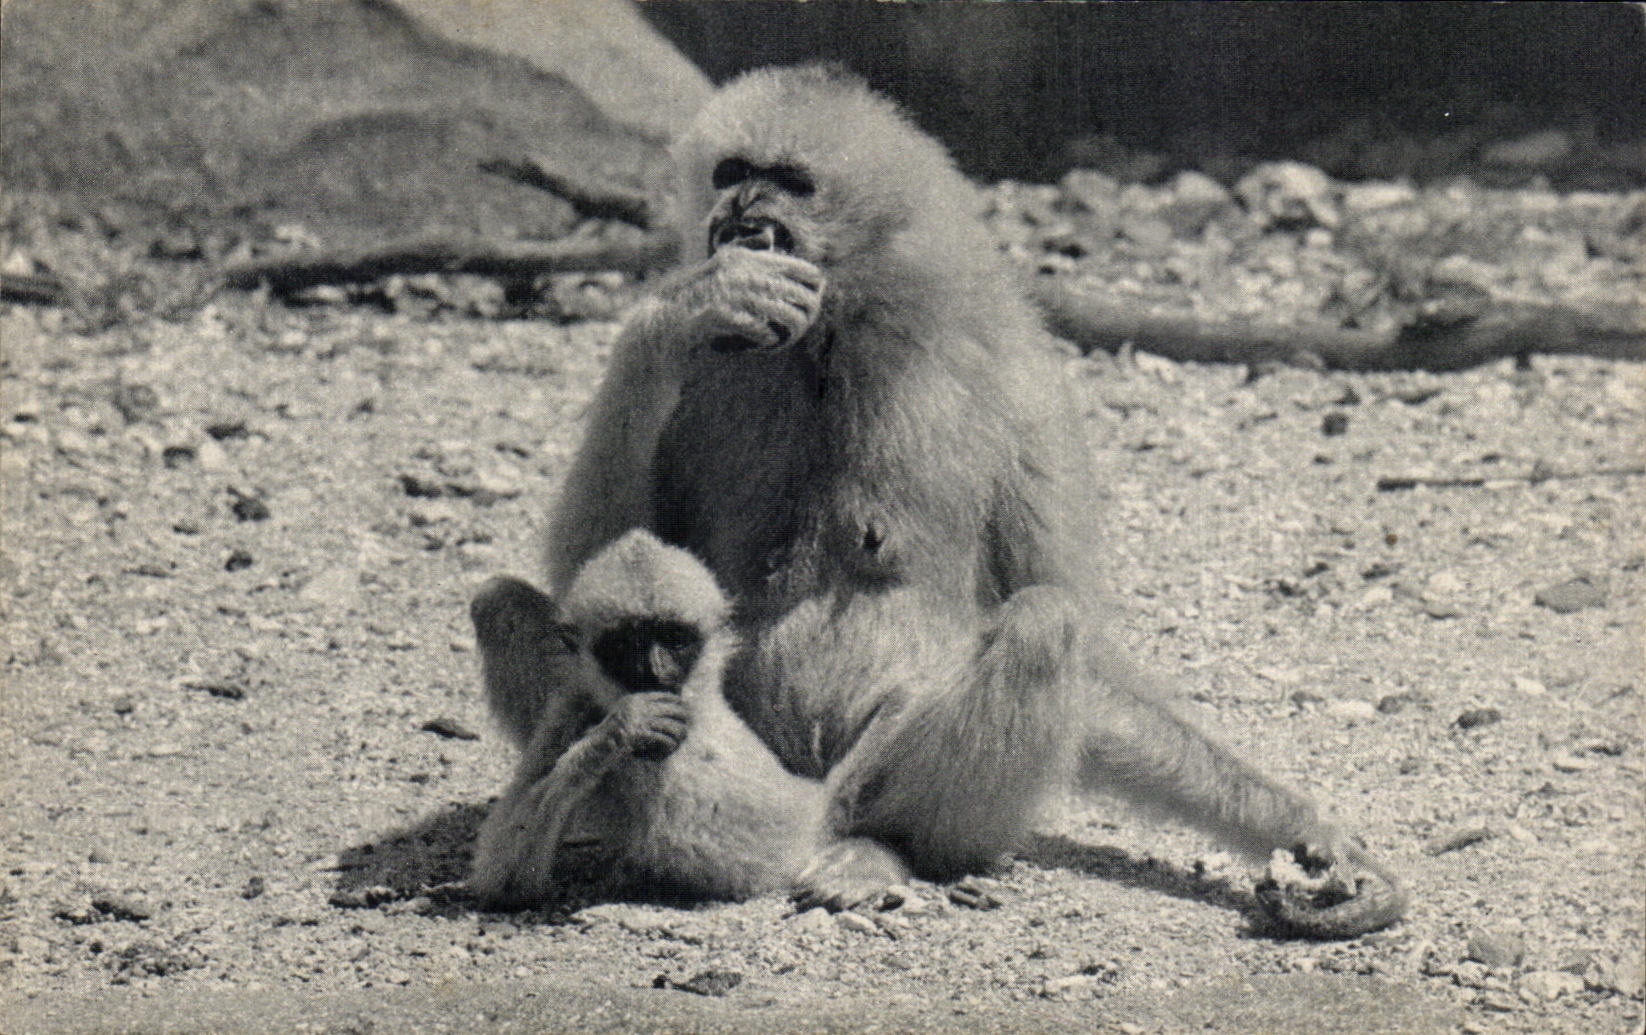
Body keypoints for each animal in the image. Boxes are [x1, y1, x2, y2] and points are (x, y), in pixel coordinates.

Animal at [468, 528, 909, 909]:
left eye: (675, 639)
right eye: (627, 644)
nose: (657, 669)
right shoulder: (572, 707)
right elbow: (501, 878)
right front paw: (623, 727)